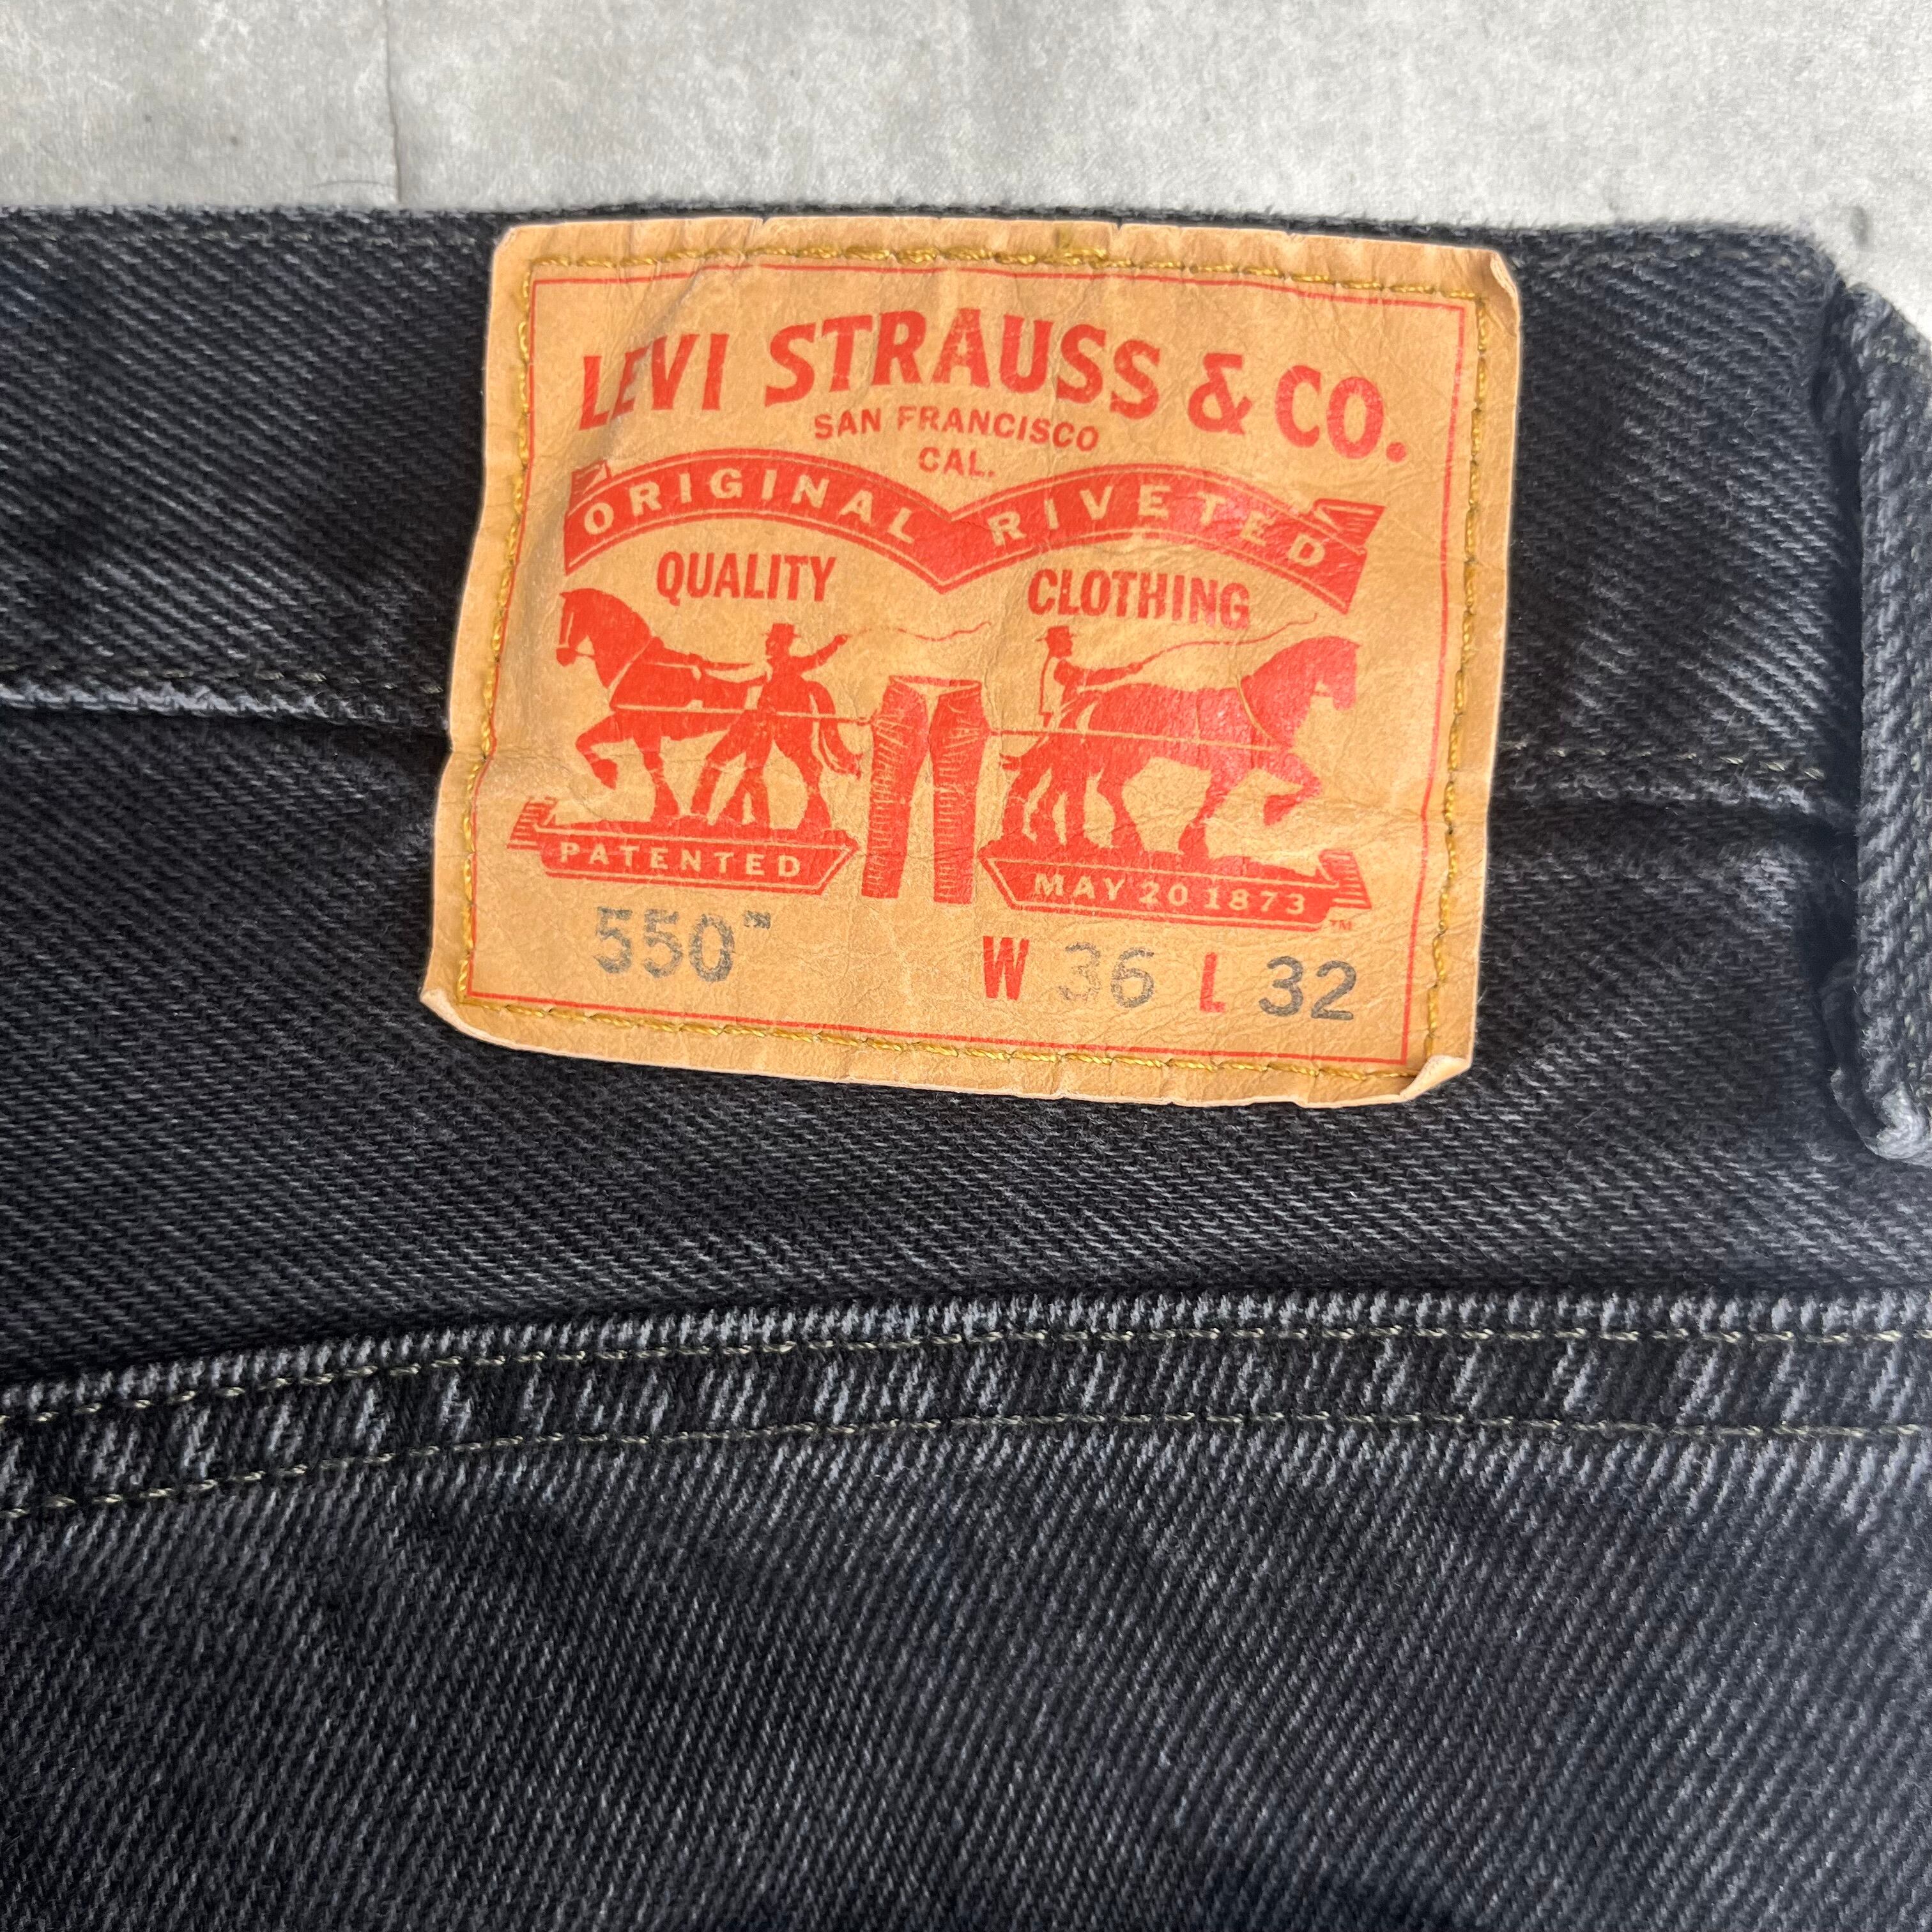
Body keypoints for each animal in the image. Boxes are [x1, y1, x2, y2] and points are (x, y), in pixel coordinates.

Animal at [555, 587, 755, 823]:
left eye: (568, 618)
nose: (561, 657)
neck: (639, 664)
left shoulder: (644, 727)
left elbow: (653, 765)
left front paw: (664, 811)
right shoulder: (625, 724)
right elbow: (583, 740)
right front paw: (609, 775)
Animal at [1001, 633, 1358, 859]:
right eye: (1345, 666)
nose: (1348, 703)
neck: (1258, 707)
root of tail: (1104, 696)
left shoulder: (1264, 762)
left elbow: (1311, 783)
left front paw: (1271, 811)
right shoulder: (1234, 769)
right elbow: (1215, 801)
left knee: (1082, 781)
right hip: (1128, 754)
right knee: (1096, 784)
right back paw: (1118, 838)